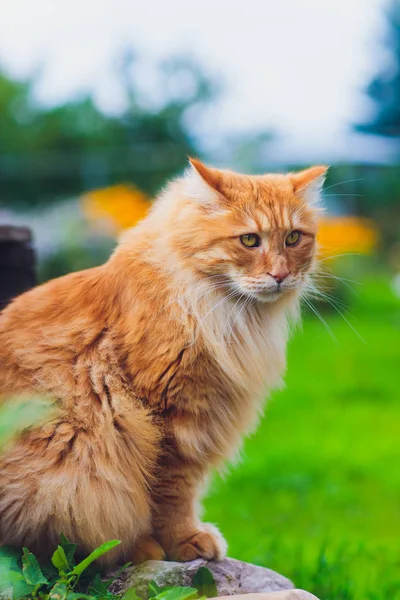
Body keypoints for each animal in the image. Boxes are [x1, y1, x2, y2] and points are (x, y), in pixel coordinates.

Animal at [0, 158, 324, 564]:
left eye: (293, 238)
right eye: (250, 240)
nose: (280, 275)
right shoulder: (170, 417)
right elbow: (170, 494)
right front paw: (182, 542)